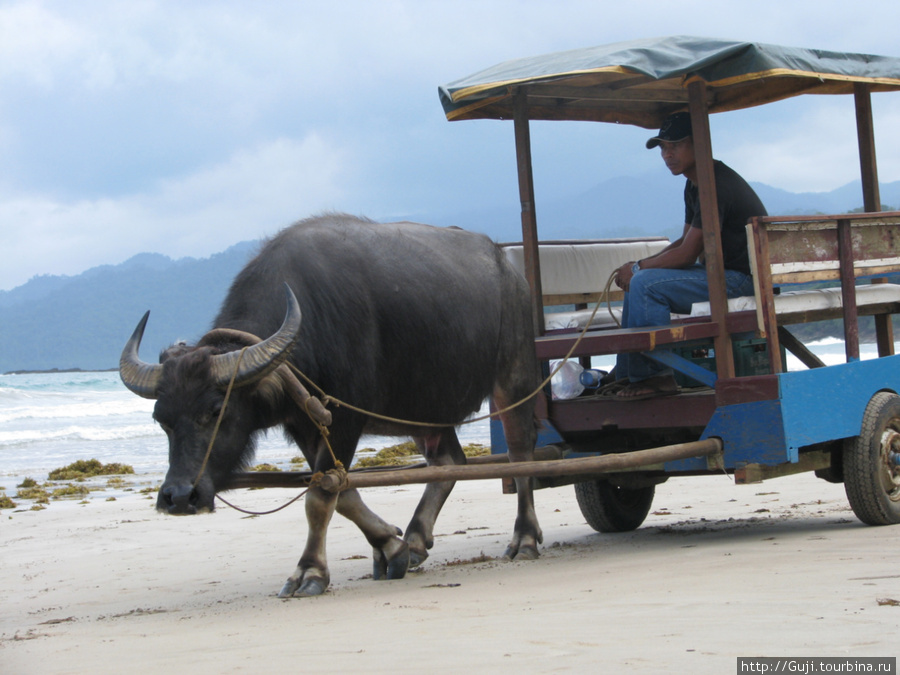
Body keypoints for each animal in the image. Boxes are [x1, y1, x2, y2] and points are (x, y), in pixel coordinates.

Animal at [119, 213, 540, 596]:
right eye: (162, 420)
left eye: (214, 411)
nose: (177, 497)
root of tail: (511, 273)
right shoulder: (306, 427)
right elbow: (343, 494)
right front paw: (393, 547)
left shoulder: (343, 421)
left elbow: (321, 496)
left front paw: (310, 572)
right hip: (424, 410)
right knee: (449, 462)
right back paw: (418, 540)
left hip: (514, 377)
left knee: (521, 456)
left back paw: (525, 538)